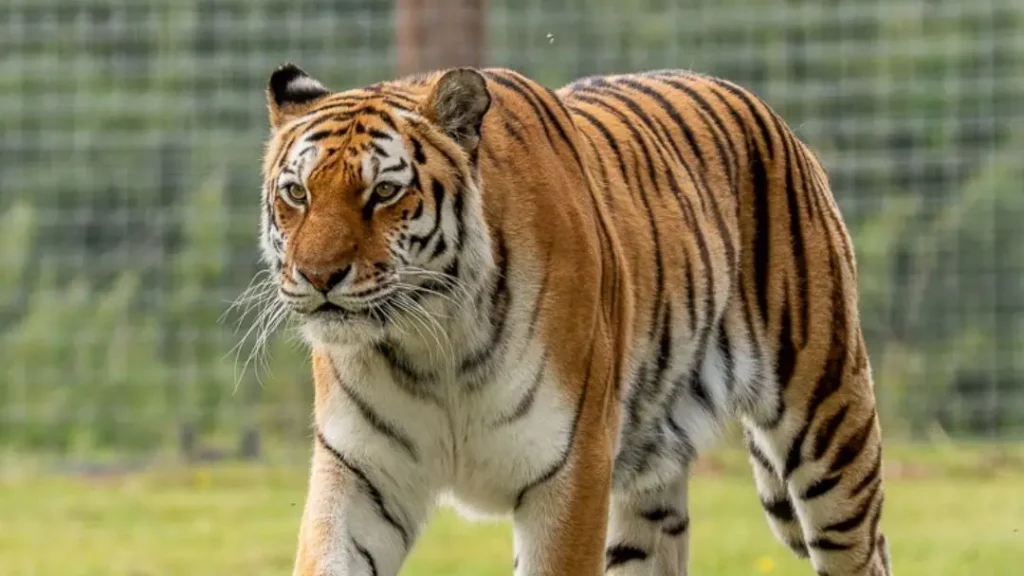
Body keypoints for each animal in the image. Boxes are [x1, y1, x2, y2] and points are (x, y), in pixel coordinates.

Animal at [256, 61, 893, 576]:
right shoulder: (361, 472)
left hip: (828, 422)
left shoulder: (570, 469)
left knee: (864, 550)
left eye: (384, 192)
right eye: (297, 193)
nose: (317, 276)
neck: (431, 346)